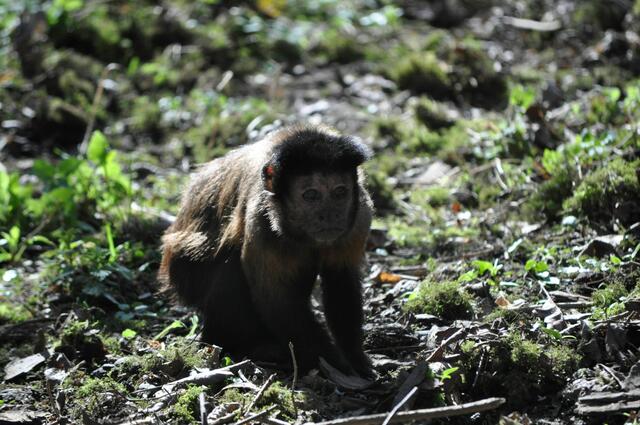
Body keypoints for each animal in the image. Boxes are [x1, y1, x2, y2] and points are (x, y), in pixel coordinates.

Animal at [158, 125, 373, 377]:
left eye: (340, 192)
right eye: (311, 195)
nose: (330, 215)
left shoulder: (359, 216)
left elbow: (341, 281)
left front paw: (354, 357)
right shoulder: (261, 220)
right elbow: (275, 299)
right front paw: (335, 362)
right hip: (185, 274)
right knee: (231, 262)